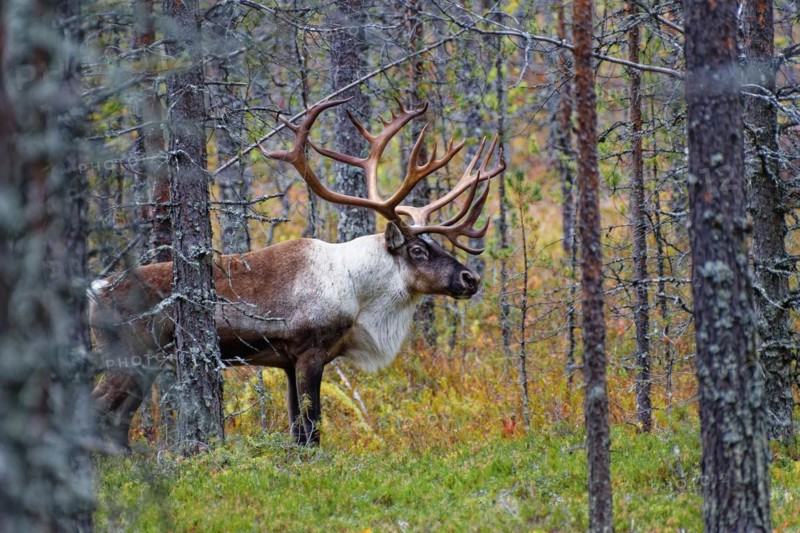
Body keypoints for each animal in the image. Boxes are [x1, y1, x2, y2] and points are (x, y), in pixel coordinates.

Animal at [89, 98, 505, 448]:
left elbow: (297, 430)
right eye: (418, 250)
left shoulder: (287, 361)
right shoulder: (310, 351)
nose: (470, 279)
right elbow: (311, 429)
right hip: (131, 356)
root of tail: (98, 289)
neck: (357, 294)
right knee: (101, 410)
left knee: (116, 420)